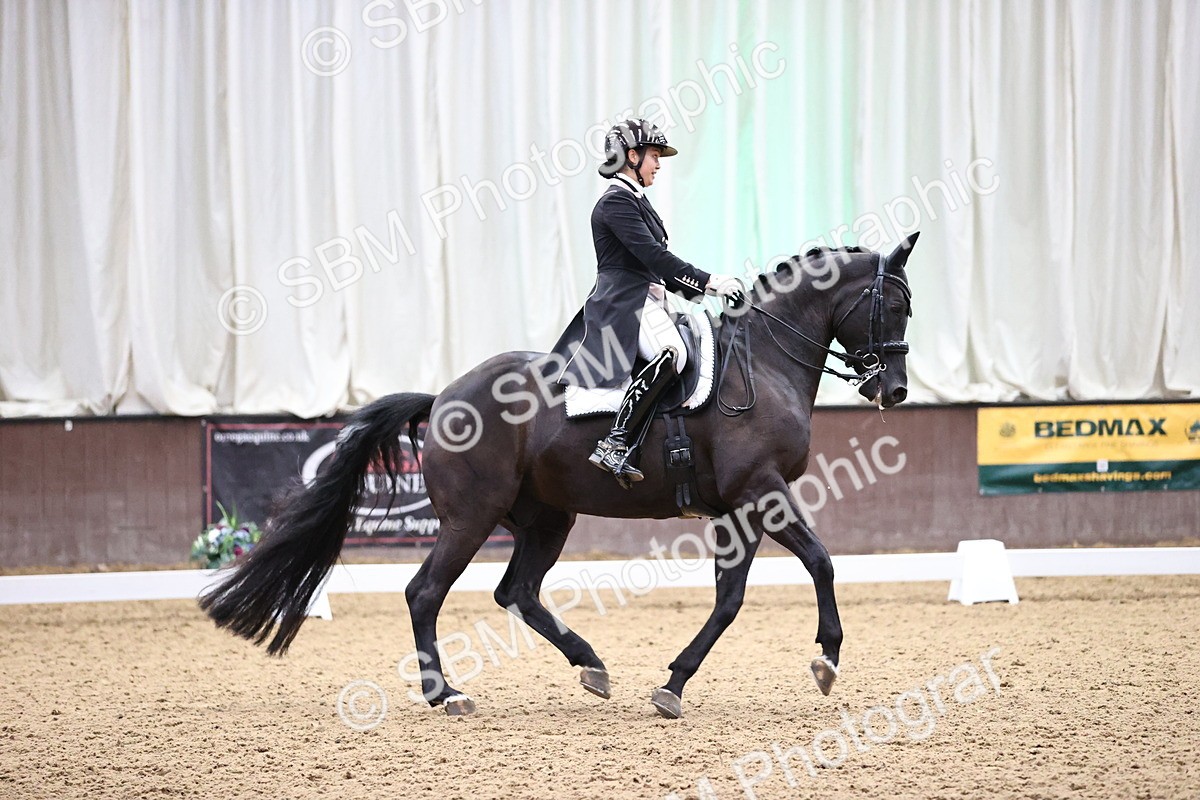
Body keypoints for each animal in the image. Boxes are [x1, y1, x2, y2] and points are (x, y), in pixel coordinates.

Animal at [200, 232, 918, 719]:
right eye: (894, 307)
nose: (895, 391)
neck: (764, 362)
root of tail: (444, 396)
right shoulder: (761, 492)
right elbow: (820, 560)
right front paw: (827, 658)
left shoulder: (735, 509)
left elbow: (729, 599)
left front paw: (673, 684)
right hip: (471, 517)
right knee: (425, 592)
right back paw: (446, 693)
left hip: (547, 517)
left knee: (517, 591)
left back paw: (591, 666)